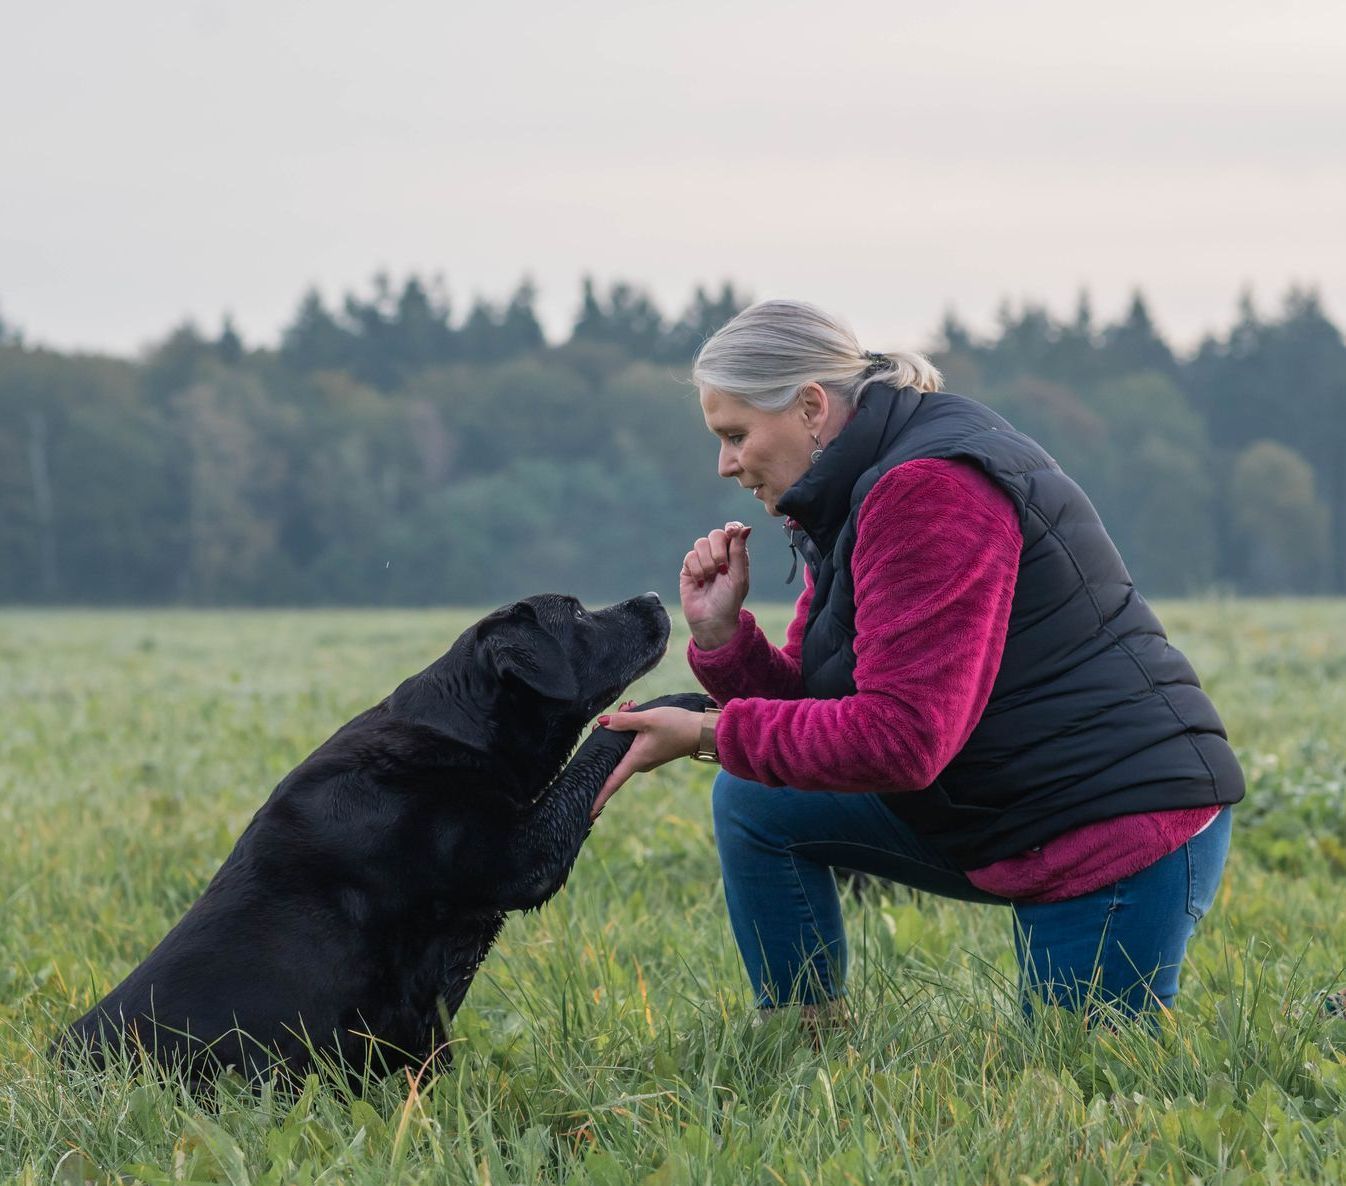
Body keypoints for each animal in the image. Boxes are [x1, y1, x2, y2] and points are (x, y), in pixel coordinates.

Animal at [58, 591, 711, 1087]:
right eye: (575, 613)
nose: (655, 597)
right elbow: (599, 746)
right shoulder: (522, 858)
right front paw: (679, 702)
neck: (462, 728)